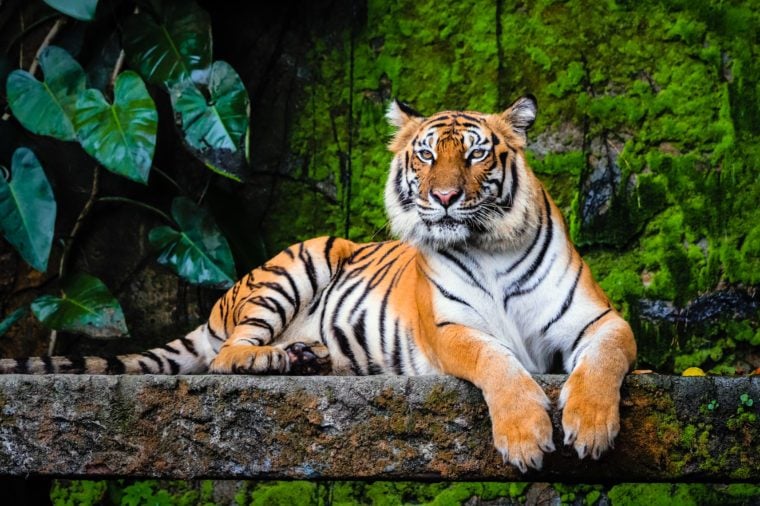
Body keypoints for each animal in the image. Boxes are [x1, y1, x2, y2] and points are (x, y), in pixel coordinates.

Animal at [1, 96, 636, 474]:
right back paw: (280, 358)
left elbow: (603, 361)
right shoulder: (451, 328)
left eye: (478, 154)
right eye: (426, 155)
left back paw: (311, 356)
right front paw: (527, 437)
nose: (444, 197)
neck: (488, 246)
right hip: (299, 263)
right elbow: (498, 363)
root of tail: (219, 303)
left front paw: (590, 428)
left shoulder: (600, 320)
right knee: (228, 356)